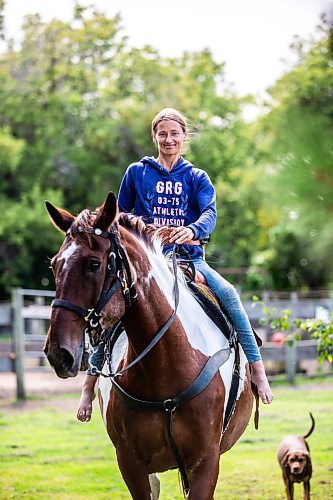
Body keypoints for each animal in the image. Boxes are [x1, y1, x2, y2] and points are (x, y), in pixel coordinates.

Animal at [44, 192, 254, 500]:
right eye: (55, 265)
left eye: (93, 264)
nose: (58, 352)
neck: (166, 369)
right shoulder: (130, 464)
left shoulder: (206, 462)